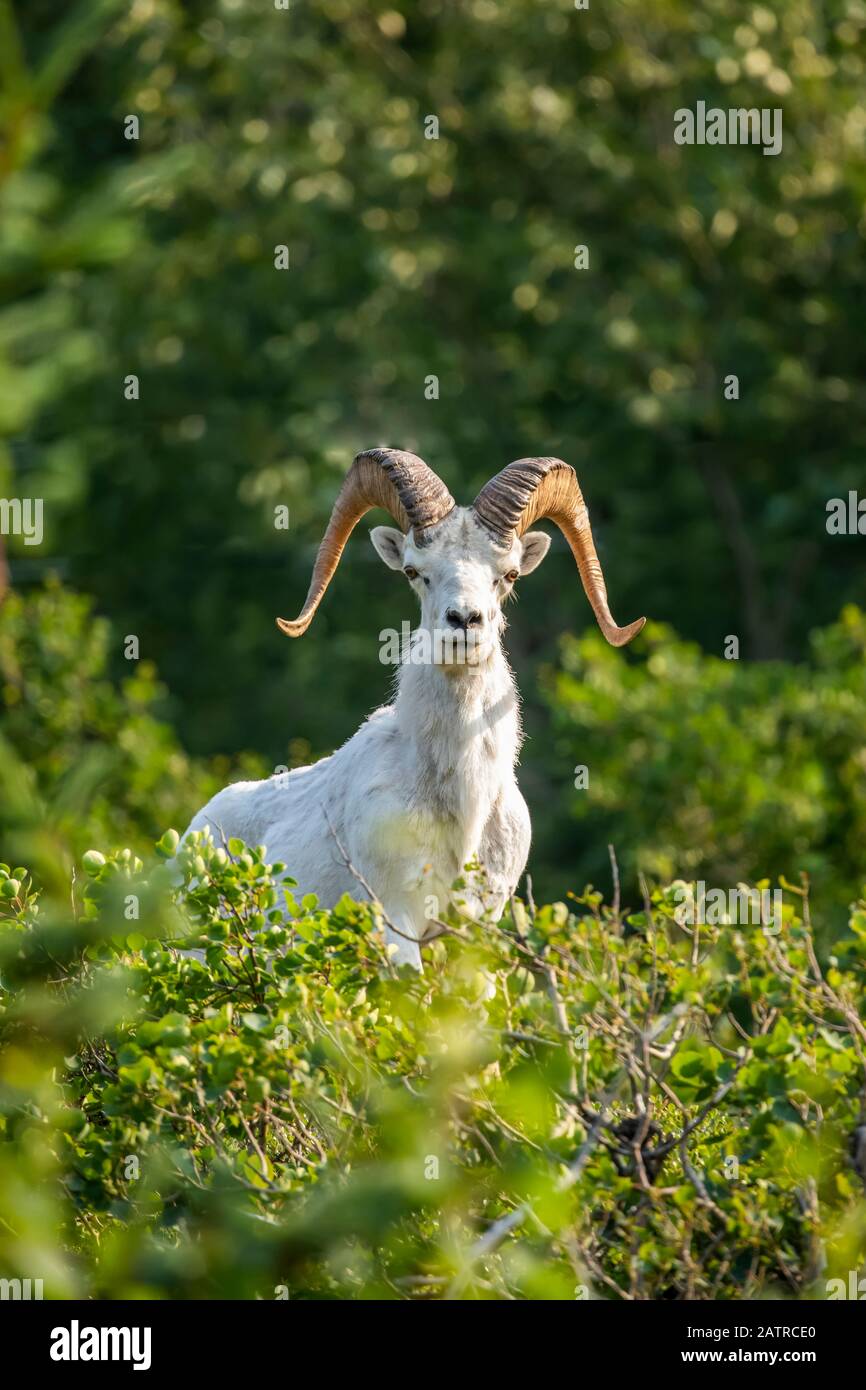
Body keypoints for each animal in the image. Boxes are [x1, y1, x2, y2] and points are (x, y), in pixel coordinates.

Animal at [182, 449, 645, 968]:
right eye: (413, 571)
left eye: (508, 575)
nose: (464, 622)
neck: (462, 805)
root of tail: (192, 839)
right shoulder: (397, 923)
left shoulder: (475, 932)